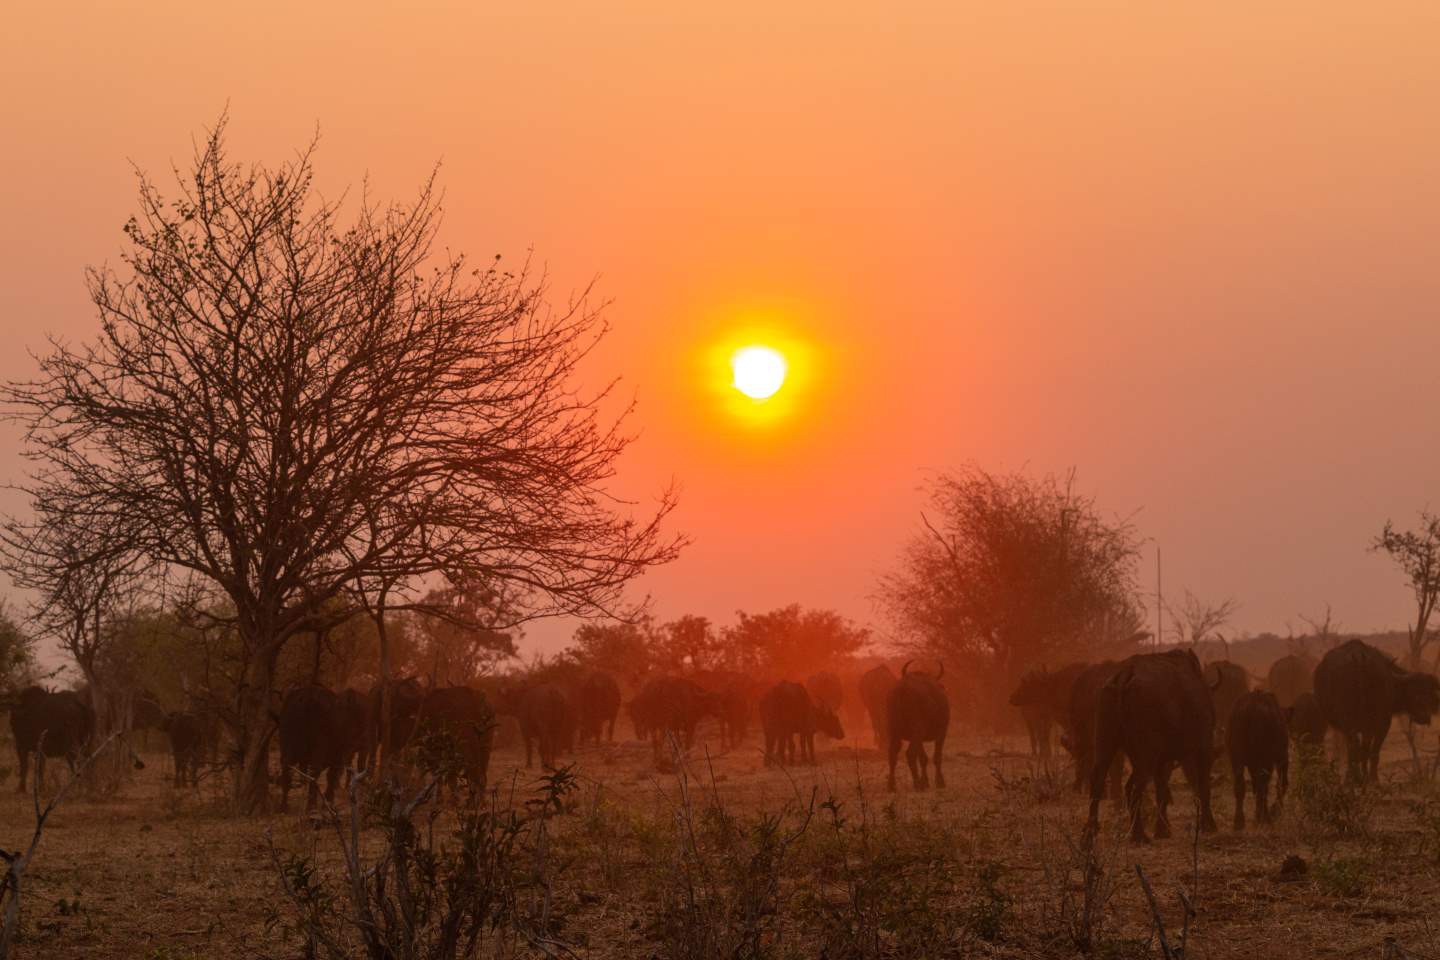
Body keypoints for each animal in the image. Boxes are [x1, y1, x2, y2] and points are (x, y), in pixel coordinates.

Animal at [881, 664, 950, 794]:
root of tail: (901, 689)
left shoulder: (919, 739)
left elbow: (923, 758)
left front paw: (926, 781)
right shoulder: (941, 733)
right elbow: (936, 757)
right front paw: (939, 781)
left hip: (894, 731)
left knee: (892, 754)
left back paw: (891, 785)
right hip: (916, 731)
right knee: (910, 754)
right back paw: (917, 784)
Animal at [1088, 650, 1215, 846]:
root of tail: (1124, 675)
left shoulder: (1162, 760)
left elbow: (1161, 789)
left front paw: (1162, 830)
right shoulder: (1203, 746)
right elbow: (1202, 785)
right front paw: (1208, 825)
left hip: (1106, 742)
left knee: (1099, 781)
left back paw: (1089, 835)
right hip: (1146, 755)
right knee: (1133, 788)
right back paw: (1138, 835)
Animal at [1232, 690, 1290, 834]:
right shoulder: (1281, 757)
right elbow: (1281, 784)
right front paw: (1273, 810)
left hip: (1236, 756)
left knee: (1240, 785)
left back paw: (1239, 821)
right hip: (1267, 759)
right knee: (1264, 785)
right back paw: (1265, 817)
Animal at [1319, 639, 1440, 782]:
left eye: (1429, 693)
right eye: (1414, 693)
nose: (1424, 717)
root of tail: (1359, 659)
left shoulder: (1371, 727)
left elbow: (1366, 750)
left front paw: (1366, 777)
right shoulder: (1379, 724)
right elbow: (1364, 751)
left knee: (1359, 749)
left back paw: (1357, 777)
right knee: (1359, 750)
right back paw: (1360, 778)